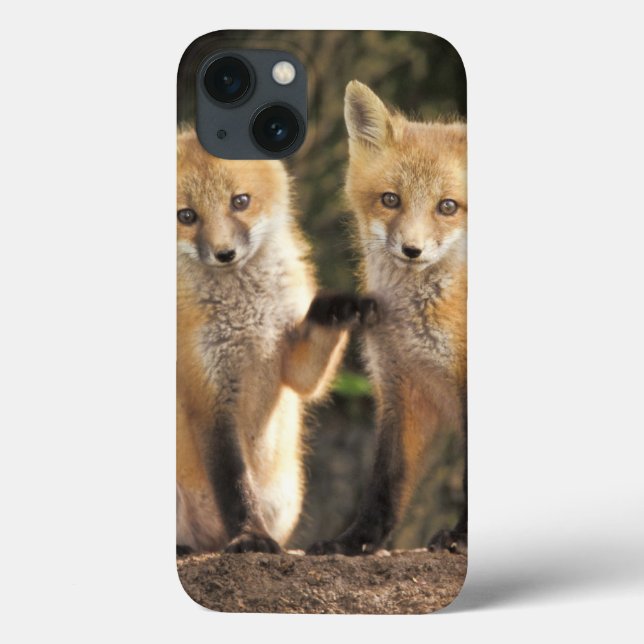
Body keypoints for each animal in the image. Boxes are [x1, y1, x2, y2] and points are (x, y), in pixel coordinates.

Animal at [176, 127, 374, 554]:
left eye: (240, 201)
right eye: (186, 216)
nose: (225, 254)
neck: (246, 315)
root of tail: (207, 541)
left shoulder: (291, 364)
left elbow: (309, 370)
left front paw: (339, 307)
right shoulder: (208, 394)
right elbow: (235, 486)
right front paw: (250, 535)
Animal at [308, 81, 467, 556]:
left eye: (447, 206)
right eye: (390, 199)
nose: (412, 250)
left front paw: (460, 537)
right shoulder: (399, 388)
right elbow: (385, 480)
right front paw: (354, 541)